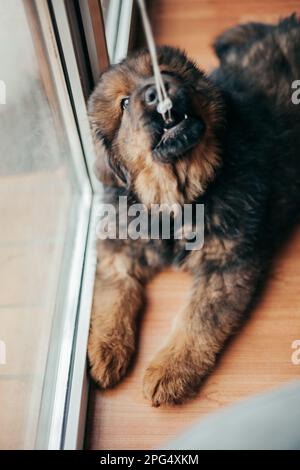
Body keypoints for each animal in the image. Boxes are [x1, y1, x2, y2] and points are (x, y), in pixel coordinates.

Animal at [86, 14, 300, 404]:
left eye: (167, 71)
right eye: (123, 104)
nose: (156, 92)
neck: (177, 199)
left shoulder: (226, 264)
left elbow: (196, 321)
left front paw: (169, 371)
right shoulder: (118, 246)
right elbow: (113, 293)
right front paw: (106, 349)